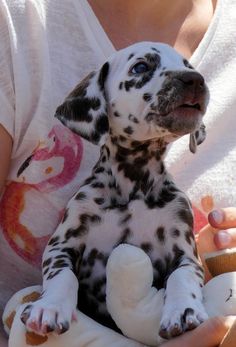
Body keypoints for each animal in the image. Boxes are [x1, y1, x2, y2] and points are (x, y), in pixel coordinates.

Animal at [20, 40, 208, 340]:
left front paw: (182, 310)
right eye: (141, 67)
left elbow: (183, 278)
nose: (195, 80)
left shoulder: (186, 252)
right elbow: (62, 275)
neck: (133, 187)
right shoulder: (62, 244)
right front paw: (49, 307)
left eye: (187, 65)